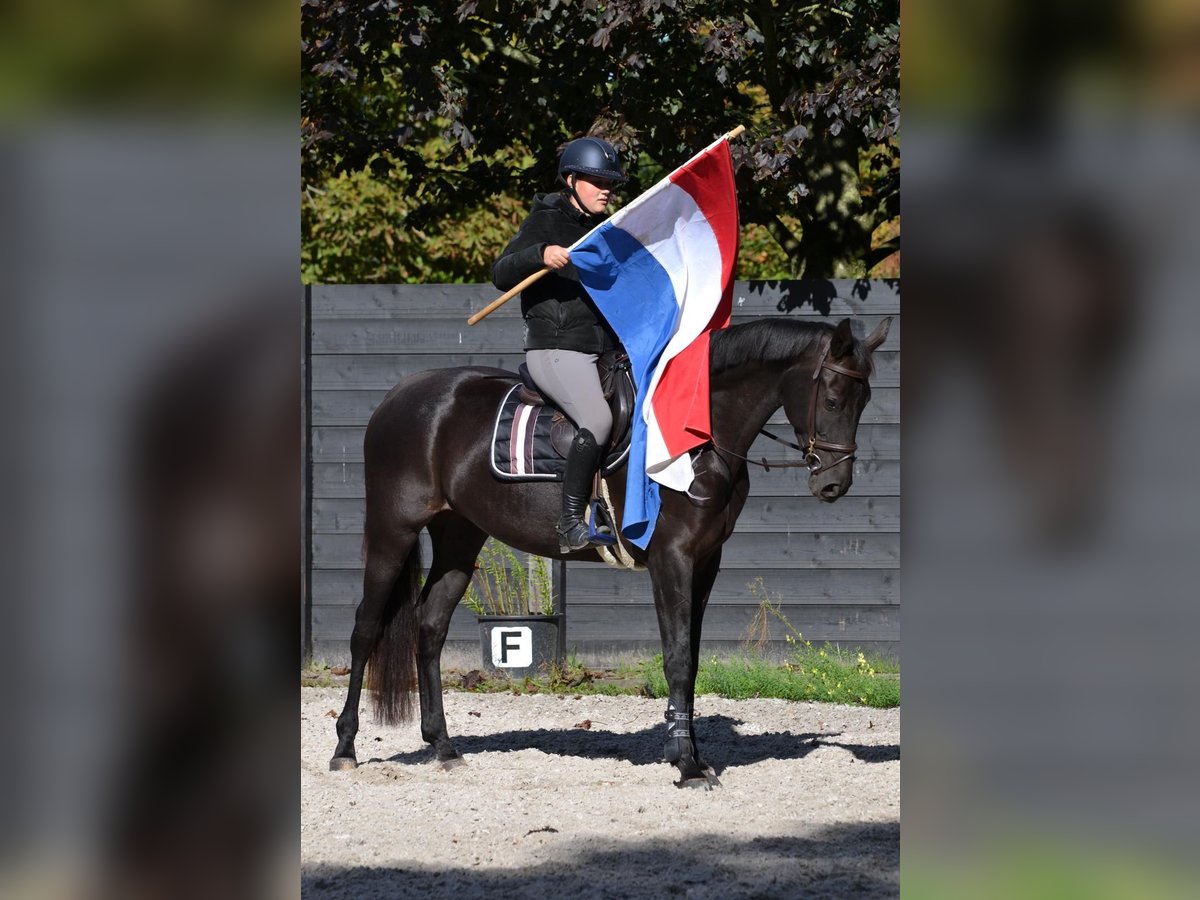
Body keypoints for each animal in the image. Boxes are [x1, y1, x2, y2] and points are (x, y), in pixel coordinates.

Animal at [328, 314, 892, 787]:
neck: (695, 434)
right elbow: (677, 658)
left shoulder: (706, 562)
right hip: (393, 531)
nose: (834, 484)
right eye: (834, 400)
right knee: (365, 629)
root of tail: (401, 395)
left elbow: (692, 657)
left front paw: (693, 755)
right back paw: (345, 748)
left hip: (458, 536)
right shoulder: (671, 558)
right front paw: (686, 766)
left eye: (864, 402)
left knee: (430, 626)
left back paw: (443, 747)